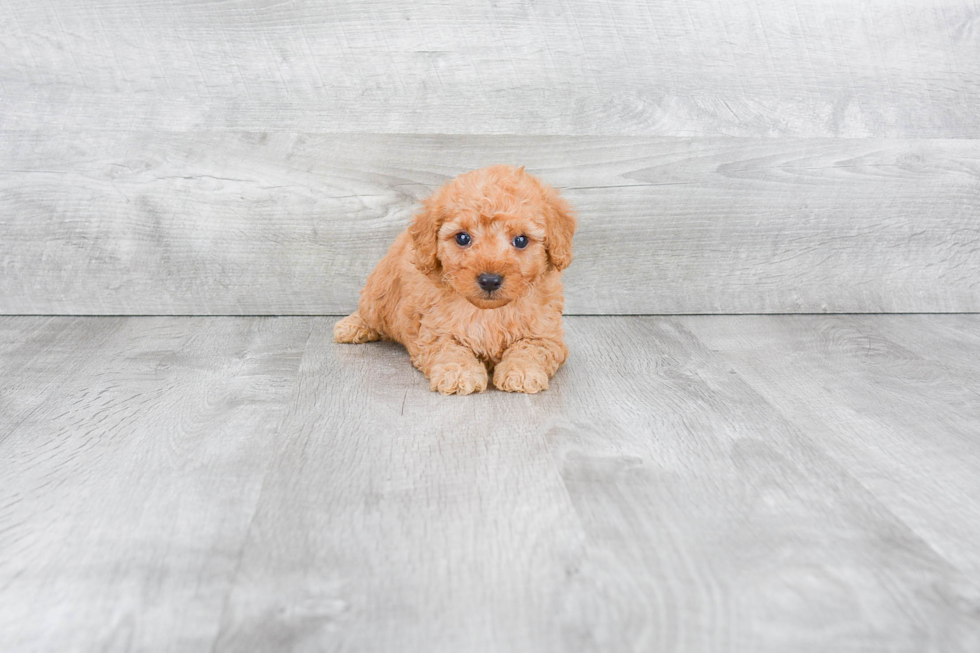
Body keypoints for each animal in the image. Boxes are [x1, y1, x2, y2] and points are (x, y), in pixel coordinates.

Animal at [334, 166, 576, 394]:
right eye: (462, 238)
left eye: (521, 240)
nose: (489, 280)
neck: (489, 312)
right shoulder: (435, 331)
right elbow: (450, 350)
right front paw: (459, 373)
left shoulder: (545, 334)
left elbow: (530, 349)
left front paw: (522, 371)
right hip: (380, 292)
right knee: (369, 311)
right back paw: (351, 327)